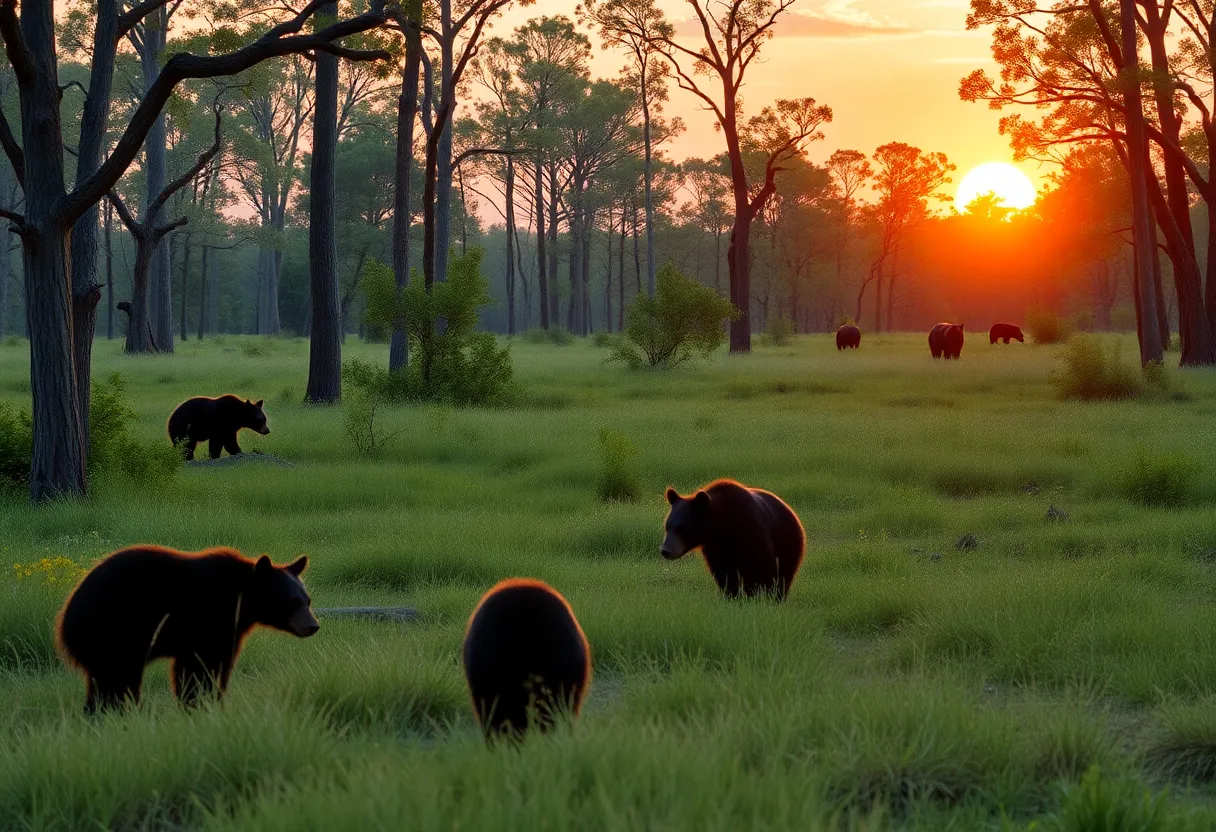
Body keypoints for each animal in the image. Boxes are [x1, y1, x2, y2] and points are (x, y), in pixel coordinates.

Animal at [56, 546, 319, 714]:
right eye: (291, 602)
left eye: (307, 600)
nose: (313, 625)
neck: (241, 599)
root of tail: (65, 618)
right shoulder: (208, 620)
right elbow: (201, 667)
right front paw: (201, 702)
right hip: (113, 633)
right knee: (118, 679)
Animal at [662, 479, 806, 601]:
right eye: (667, 526)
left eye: (681, 528)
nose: (665, 550)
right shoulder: (715, 547)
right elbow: (724, 573)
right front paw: (733, 596)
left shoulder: (751, 531)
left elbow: (758, 567)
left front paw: (753, 596)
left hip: (788, 543)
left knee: (784, 575)